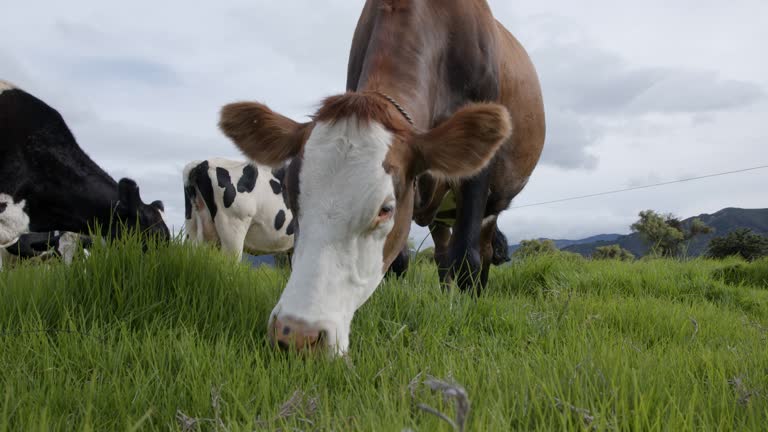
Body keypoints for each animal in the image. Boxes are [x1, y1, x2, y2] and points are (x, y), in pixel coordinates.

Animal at [218, 0, 544, 354]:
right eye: (291, 198)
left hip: (492, 203)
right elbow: (398, 264)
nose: (296, 335)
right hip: (441, 218)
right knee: (442, 255)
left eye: (385, 209)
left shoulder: (477, 178)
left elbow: (465, 259)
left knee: (477, 253)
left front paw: (465, 314)